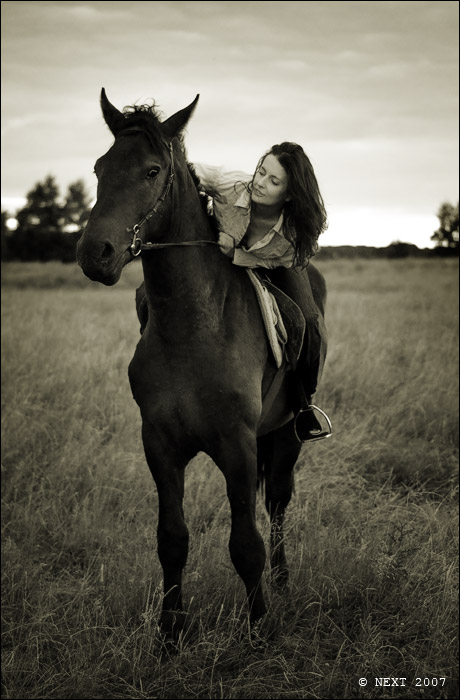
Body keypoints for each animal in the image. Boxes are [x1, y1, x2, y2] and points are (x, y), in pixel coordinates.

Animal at [76, 89, 328, 640]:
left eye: (151, 171)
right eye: (100, 167)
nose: (94, 253)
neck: (194, 326)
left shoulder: (237, 446)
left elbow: (247, 545)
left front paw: (258, 630)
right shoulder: (160, 445)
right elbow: (171, 539)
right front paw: (170, 634)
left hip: (285, 436)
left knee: (277, 506)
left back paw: (282, 586)